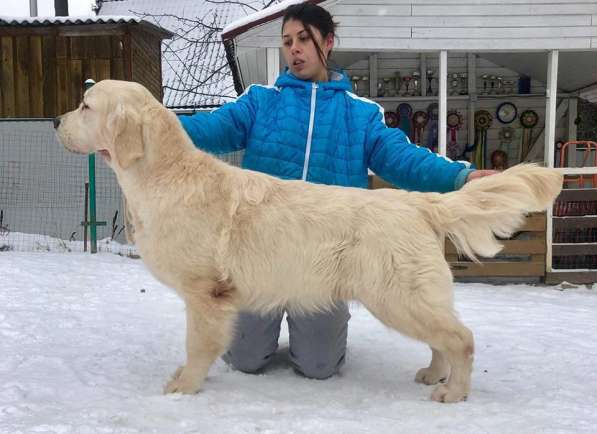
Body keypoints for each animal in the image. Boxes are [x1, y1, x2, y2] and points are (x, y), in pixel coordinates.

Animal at [53, 79, 560, 402]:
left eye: (86, 106)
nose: (55, 120)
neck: (166, 176)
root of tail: (418, 203)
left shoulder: (205, 293)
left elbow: (198, 346)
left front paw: (184, 387)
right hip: (409, 298)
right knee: (443, 338)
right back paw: (434, 374)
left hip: (398, 296)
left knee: (462, 338)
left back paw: (454, 391)